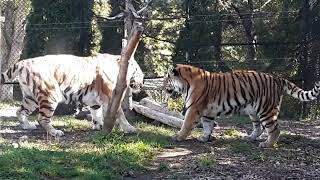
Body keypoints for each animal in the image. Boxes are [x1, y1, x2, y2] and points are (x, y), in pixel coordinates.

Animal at [0, 53, 144, 136]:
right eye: (138, 70)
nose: (142, 83)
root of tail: (23, 62)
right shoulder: (111, 97)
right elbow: (120, 114)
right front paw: (130, 128)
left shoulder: (96, 102)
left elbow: (96, 113)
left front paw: (98, 126)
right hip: (50, 95)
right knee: (42, 118)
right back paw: (55, 132)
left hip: (30, 98)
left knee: (19, 111)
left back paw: (27, 126)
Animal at [165, 64, 320, 148]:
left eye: (167, 78)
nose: (162, 86)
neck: (186, 84)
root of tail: (277, 78)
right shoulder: (207, 112)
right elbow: (207, 126)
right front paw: (204, 138)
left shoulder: (194, 108)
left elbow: (186, 123)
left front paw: (178, 136)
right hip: (254, 111)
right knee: (259, 127)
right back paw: (250, 138)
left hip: (266, 110)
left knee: (275, 130)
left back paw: (266, 144)